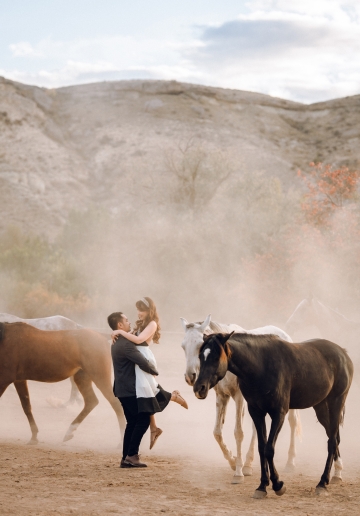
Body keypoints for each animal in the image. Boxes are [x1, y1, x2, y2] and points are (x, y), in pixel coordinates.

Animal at [180, 314, 300, 484]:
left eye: (199, 346)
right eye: (183, 346)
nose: (190, 377)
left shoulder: (239, 398)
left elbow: (238, 432)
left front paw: (238, 472)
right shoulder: (222, 396)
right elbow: (217, 432)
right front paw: (233, 461)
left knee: (293, 422)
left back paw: (290, 463)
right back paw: (249, 464)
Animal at [193, 332, 352, 498]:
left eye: (216, 357)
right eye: (201, 356)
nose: (199, 388)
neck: (261, 366)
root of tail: (343, 354)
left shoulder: (278, 414)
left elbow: (269, 449)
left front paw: (277, 484)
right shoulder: (256, 413)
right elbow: (261, 448)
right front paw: (262, 486)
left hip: (336, 403)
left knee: (332, 441)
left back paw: (322, 483)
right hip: (320, 407)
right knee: (334, 438)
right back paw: (336, 474)